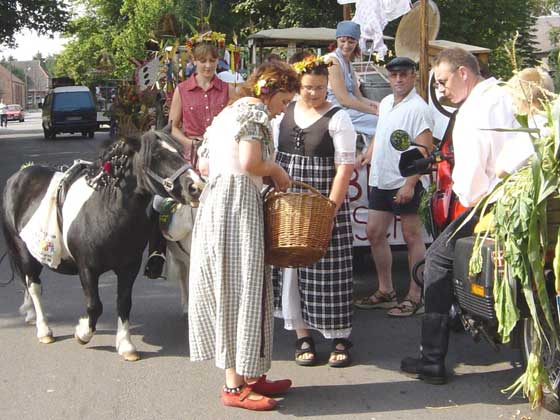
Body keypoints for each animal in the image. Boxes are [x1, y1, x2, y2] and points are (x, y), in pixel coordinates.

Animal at [1, 129, 203, 360]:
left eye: (179, 151)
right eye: (156, 156)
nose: (196, 186)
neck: (107, 211)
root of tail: (19, 175)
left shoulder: (129, 267)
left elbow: (124, 302)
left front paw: (125, 345)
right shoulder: (87, 269)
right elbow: (94, 306)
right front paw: (82, 333)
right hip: (23, 250)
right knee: (33, 285)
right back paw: (44, 329)